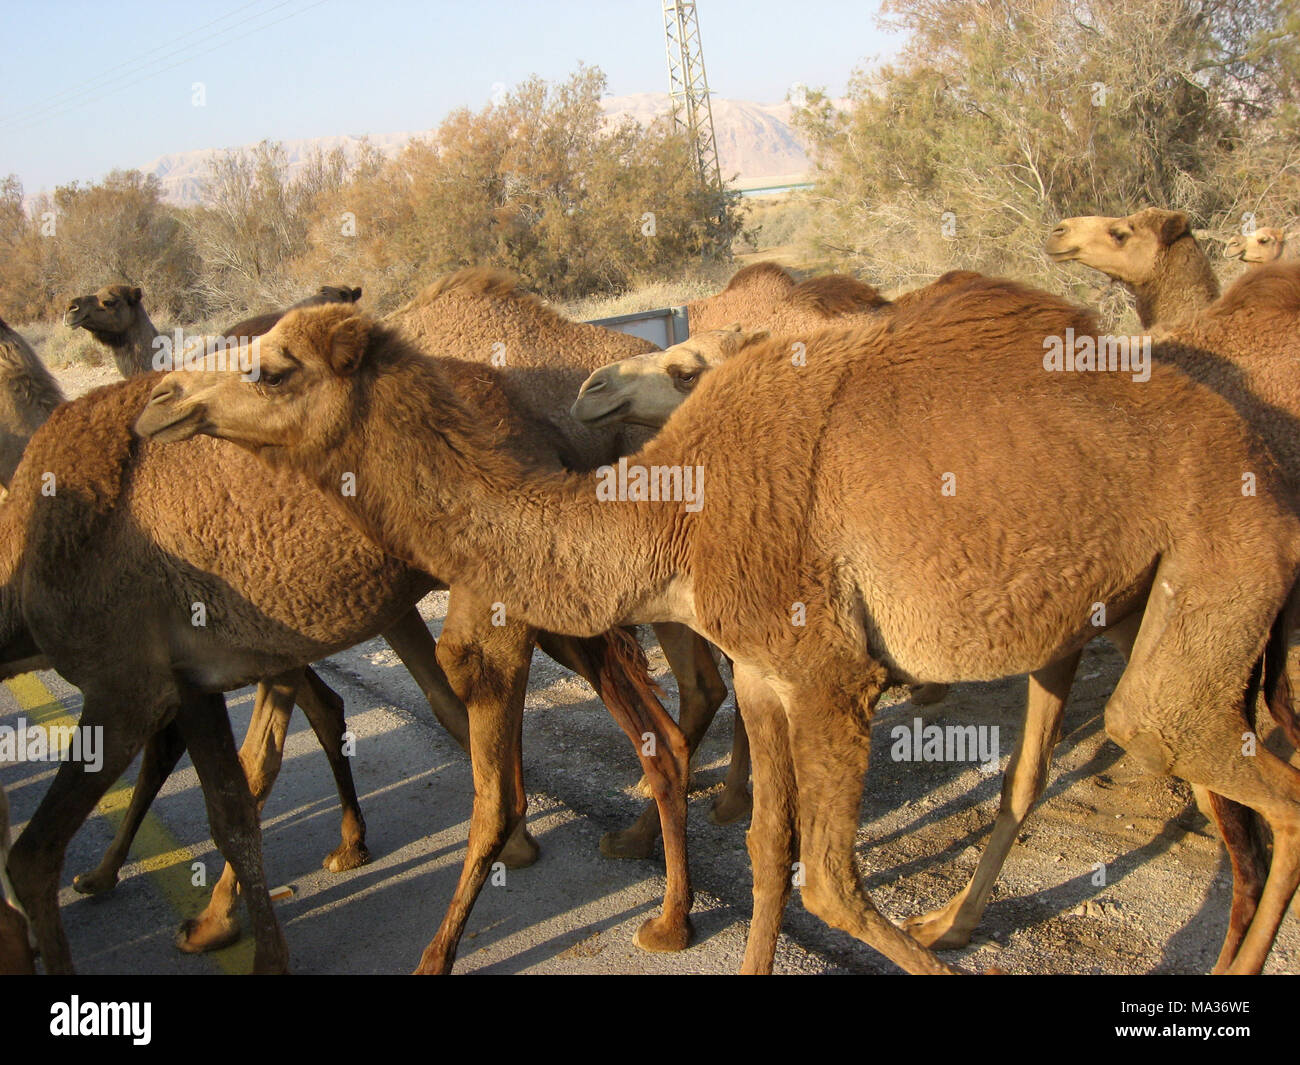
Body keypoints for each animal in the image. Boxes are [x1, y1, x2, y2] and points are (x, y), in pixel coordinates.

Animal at [138, 282, 1300, 976]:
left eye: (272, 366)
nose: (157, 404)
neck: (675, 518)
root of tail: (1265, 452)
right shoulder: (764, 675)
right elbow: (769, 849)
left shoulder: (831, 675)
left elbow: (832, 883)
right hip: (1164, 616)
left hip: (1215, 573)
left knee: (1209, 758)